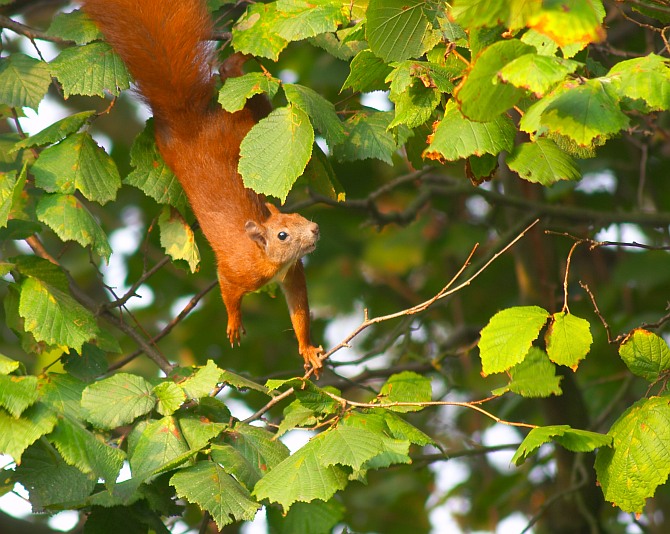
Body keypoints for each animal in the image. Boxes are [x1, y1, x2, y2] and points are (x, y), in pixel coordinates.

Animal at [82, 0, 326, 374]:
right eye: (283, 234)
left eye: (297, 216)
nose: (313, 230)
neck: (266, 259)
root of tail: (190, 124)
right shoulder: (236, 271)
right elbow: (228, 292)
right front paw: (234, 322)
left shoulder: (293, 274)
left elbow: (299, 310)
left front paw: (308, 348)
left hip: (245, 115)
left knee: (233, 79)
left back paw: (240, 58)